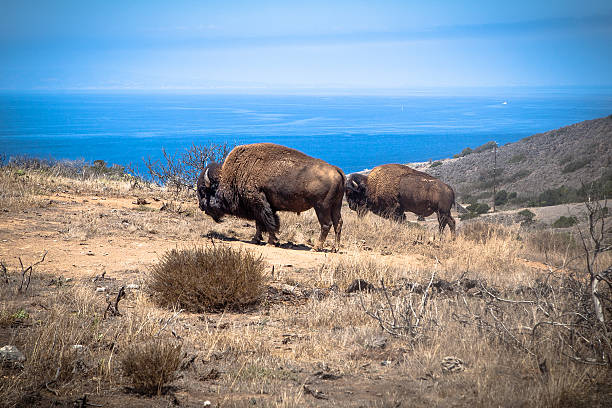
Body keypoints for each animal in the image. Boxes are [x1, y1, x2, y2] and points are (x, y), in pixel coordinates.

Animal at [198, 143, 346, 252]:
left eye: (204, 191)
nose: (201, 207)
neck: (233, 176)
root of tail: (336, 170)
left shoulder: (260, 204)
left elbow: (269, 223)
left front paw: (271, 242)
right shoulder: (260, 207)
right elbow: (260, 224)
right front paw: (256, 240)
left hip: (321, 207)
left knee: (326, 224)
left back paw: (316, 248)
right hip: (336, 205)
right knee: (338, 223)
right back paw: (335, 248)